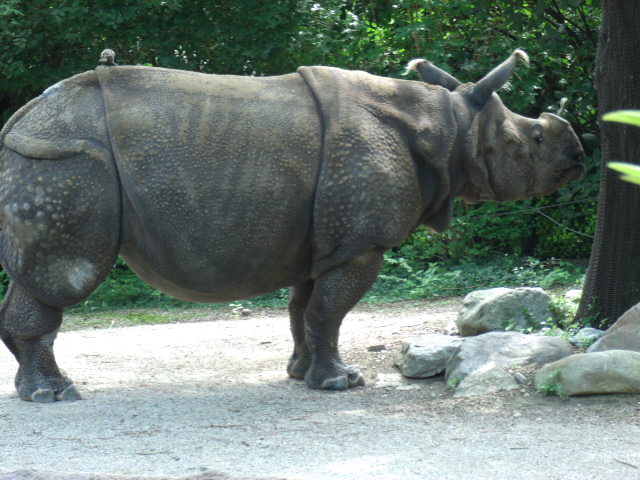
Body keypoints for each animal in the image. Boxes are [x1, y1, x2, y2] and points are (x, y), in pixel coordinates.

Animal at [0, 50, 584, 402]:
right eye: (532, 140)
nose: (578, 156)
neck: (450, 127)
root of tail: (18, 122)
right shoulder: (360, 242)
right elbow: (330, 311)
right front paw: (341, 384)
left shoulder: (324, 238)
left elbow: (305, 309)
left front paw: (301, 375)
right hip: (66, 162)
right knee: (63, 275)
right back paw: (54, 395)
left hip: (50, 158)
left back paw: (40, 391)